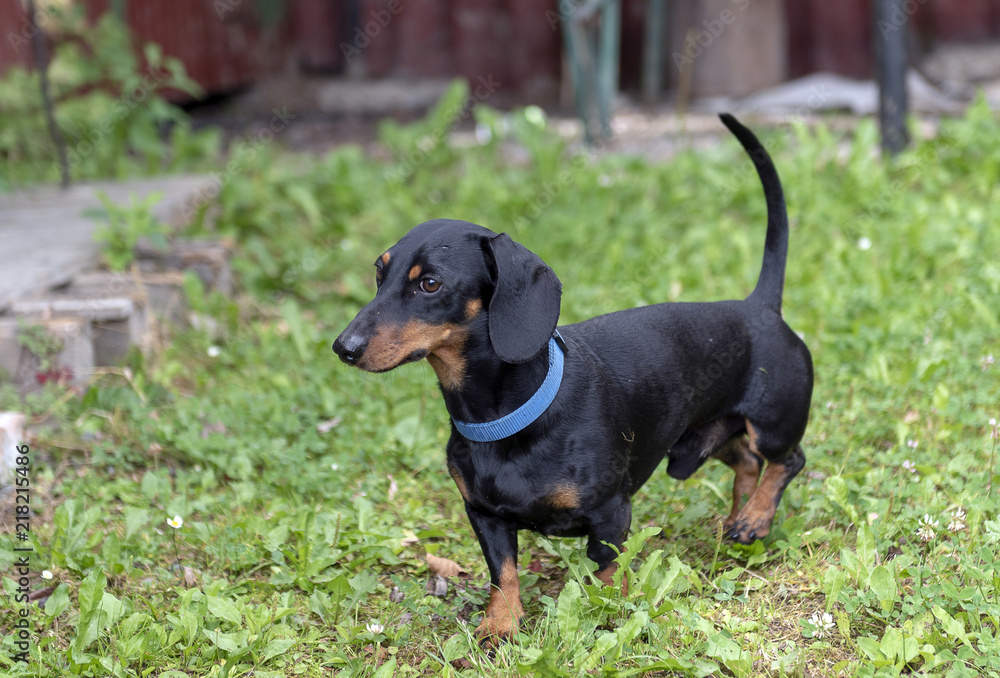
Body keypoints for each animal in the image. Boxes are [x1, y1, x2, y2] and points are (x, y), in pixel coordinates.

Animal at [336, 115, 812, 644]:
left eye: (430, 283)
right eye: (379, 274)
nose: (343, 347)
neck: (504, 417)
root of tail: (759, 306)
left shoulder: (611, 513)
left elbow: (605, 571)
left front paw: (602, 613)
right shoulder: (483, 515)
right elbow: (503, 572)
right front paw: (500, 624)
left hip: (773, 422)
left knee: (786, 460)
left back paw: (755, 518)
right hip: (705, 438)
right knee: (747, 461)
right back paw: (739, 519)